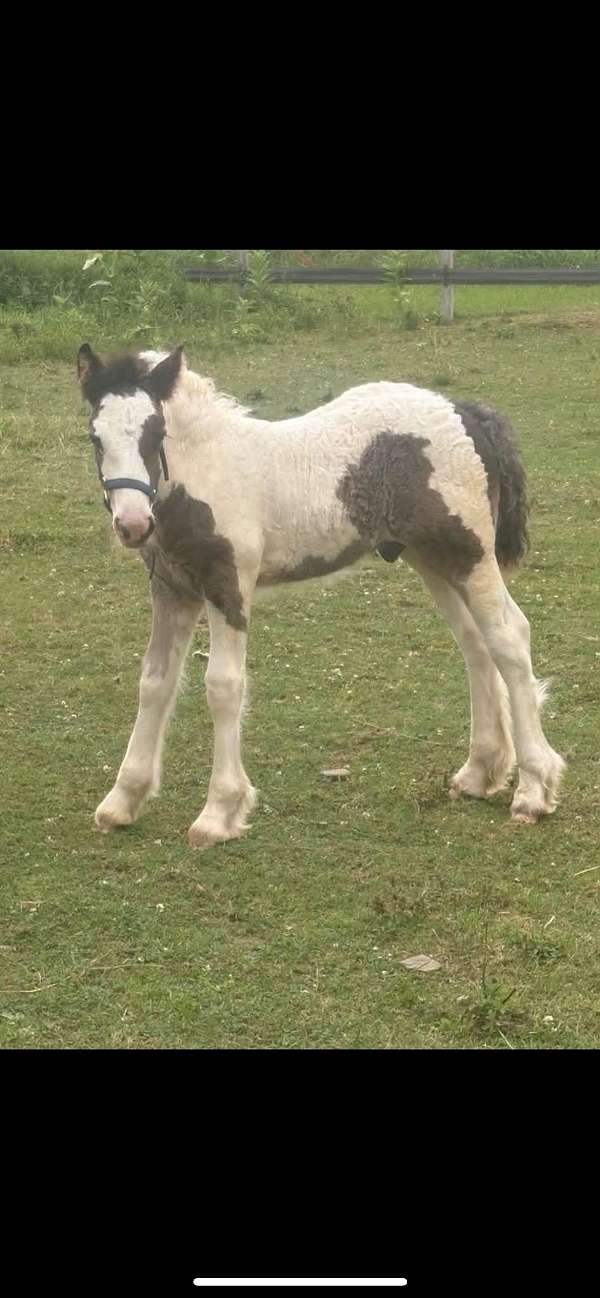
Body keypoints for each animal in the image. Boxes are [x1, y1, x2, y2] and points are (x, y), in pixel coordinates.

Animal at [77, 343, 565, 849]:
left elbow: (224, 686)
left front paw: (219, 812)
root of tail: (466, 412)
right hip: (432, 559)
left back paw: (533, 790)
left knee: (509, 637)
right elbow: (155, 681)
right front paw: (122, 800)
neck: (210, 474)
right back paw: (479, 772)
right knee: (475, 643)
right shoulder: (172, 591)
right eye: (95, 437)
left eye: (156, 432)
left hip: (471, 554)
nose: (133, 524)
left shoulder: (228, 585)